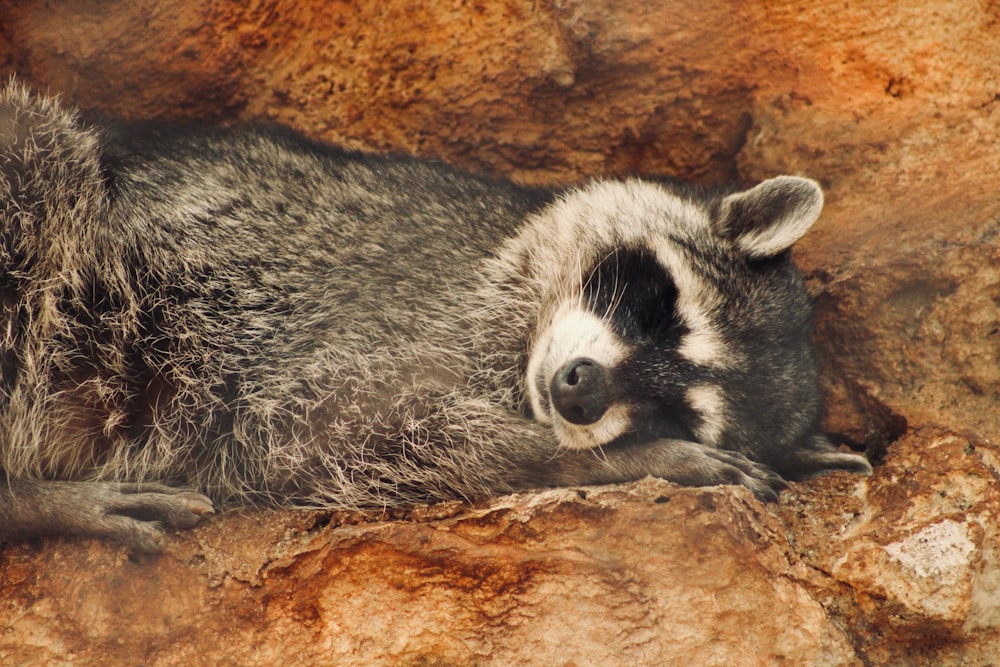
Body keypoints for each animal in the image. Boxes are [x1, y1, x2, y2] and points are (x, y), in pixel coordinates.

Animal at [0, 81, 868, 552]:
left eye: (680, 408)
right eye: (663, 303)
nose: (581, 390)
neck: (521, 329)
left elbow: (366, 441)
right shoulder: (348, 329)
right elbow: (339, 432)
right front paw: (629, 461)